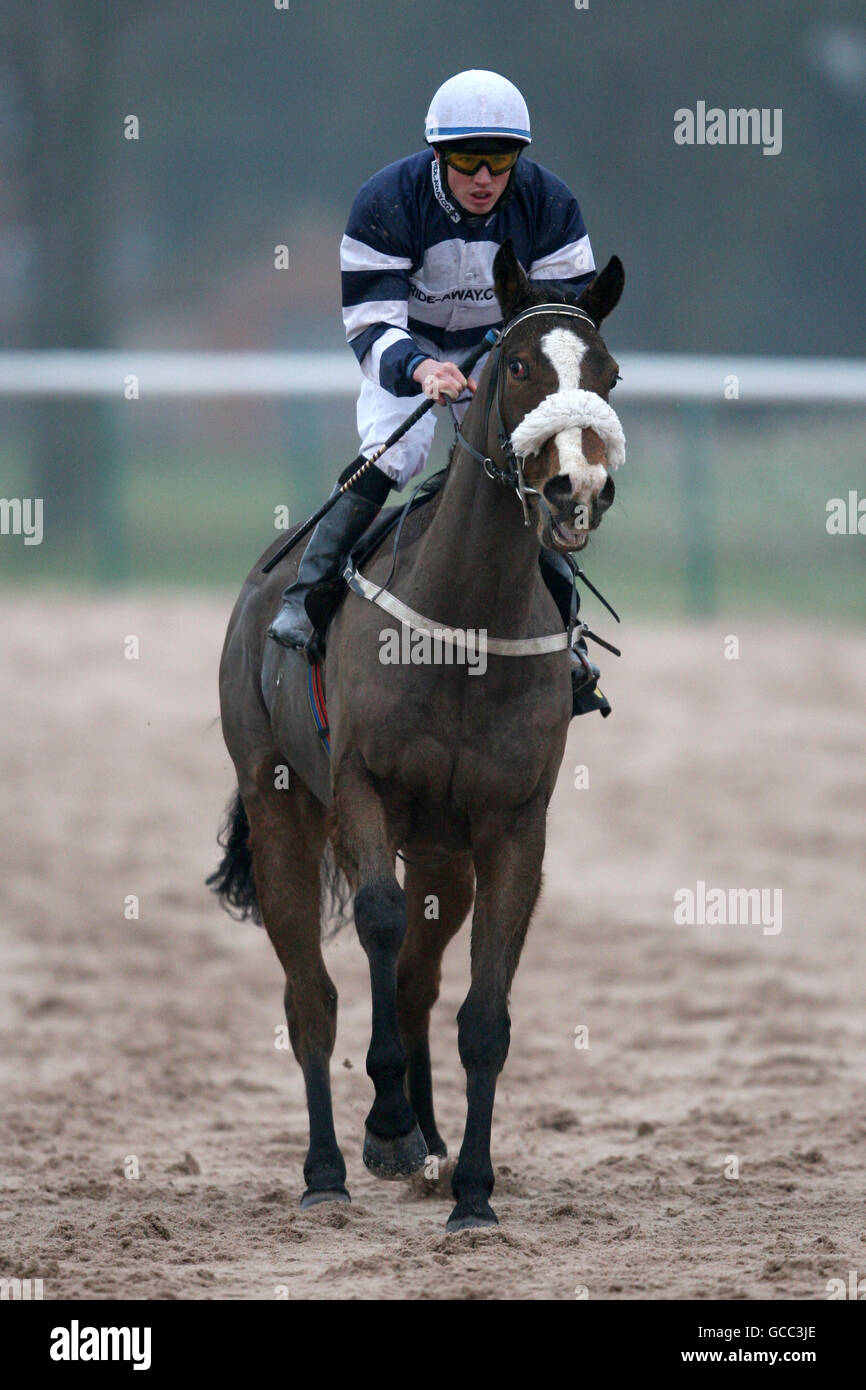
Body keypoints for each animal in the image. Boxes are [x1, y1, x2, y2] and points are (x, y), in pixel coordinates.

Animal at [214, 244, 625, 1234]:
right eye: (517, 365)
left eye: (608, 374)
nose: (579, 489)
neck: (464, 624)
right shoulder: (362, 788)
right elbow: (375, 920)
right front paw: (391, 1126)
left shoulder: (513, 823)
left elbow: (483, 1013)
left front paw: (472, 1188)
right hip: (279, 801)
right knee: (312, 995)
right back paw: (332, 1166)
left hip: (446, 853)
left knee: (414, 981)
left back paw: (430, 1148)